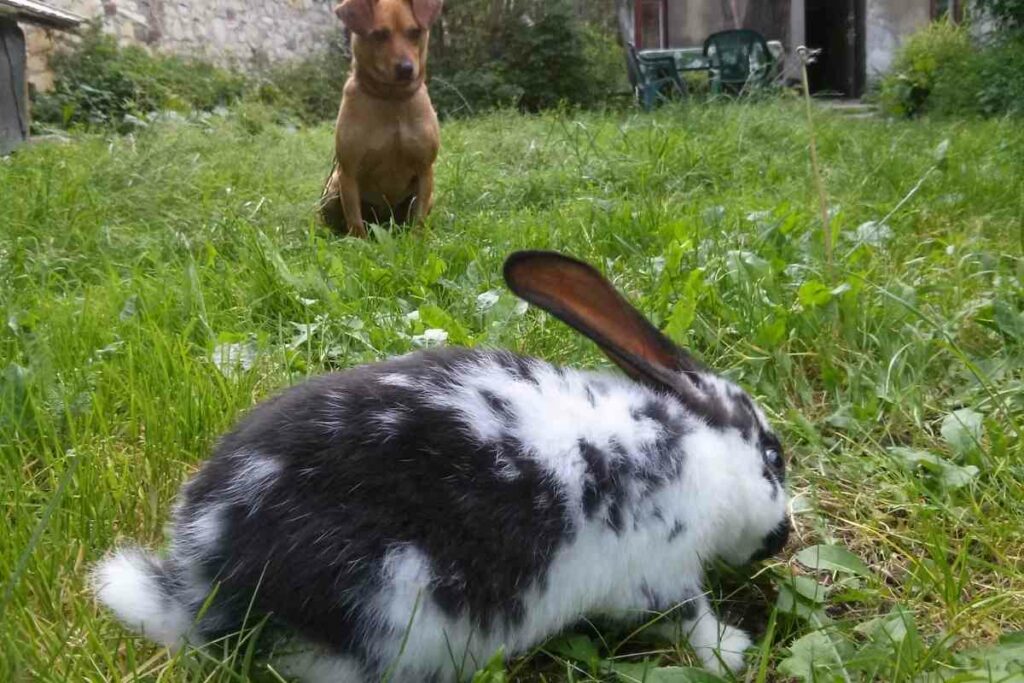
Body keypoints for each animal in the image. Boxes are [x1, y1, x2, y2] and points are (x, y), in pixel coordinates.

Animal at [92, 250, 792, 681]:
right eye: (773, 456)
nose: (781, 539)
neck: (696, 448)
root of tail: (204, 585)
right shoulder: (661, 571)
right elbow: (690, 620)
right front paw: (732, 650)